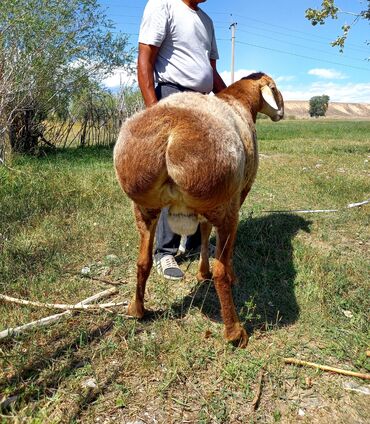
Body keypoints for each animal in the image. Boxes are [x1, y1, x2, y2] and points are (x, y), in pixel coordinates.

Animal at [114, 71, 284, 346]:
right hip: (224, 206)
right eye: (275, 88)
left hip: (144, 207)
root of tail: (170, 132)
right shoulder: (240, 194)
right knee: (221, 272)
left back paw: (137, 310)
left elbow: (203, 233)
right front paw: (220, 274)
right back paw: (235, 332)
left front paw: (201, 272)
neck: (240, 101)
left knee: (142, 261)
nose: (281, 113)